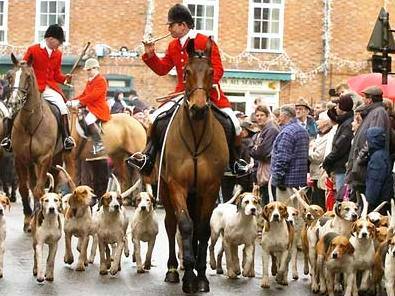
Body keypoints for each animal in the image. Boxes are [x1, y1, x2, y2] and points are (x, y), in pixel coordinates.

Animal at [5, 55, 62, 231]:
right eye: (10, 76)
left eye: (28, 77)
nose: (14, 102)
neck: (31, 122)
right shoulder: (20, 159)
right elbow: (25, 189)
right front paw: (28, 218)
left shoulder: (44, 159)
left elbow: (39, 190)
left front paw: (39, 217)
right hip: (30, 163)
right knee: (31, 184)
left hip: (56, 158)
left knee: (54, 182)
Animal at [159, 39, 229, 294]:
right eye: (187, 72)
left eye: (211, 72)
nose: (198, 109)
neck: (197, 136)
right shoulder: (176, 186)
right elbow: (186, 226)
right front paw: (188, 276)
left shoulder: (210, 189)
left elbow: (202, 229)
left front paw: (201, 276)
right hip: (165, 190)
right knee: (171, 225)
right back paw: (172, 270)